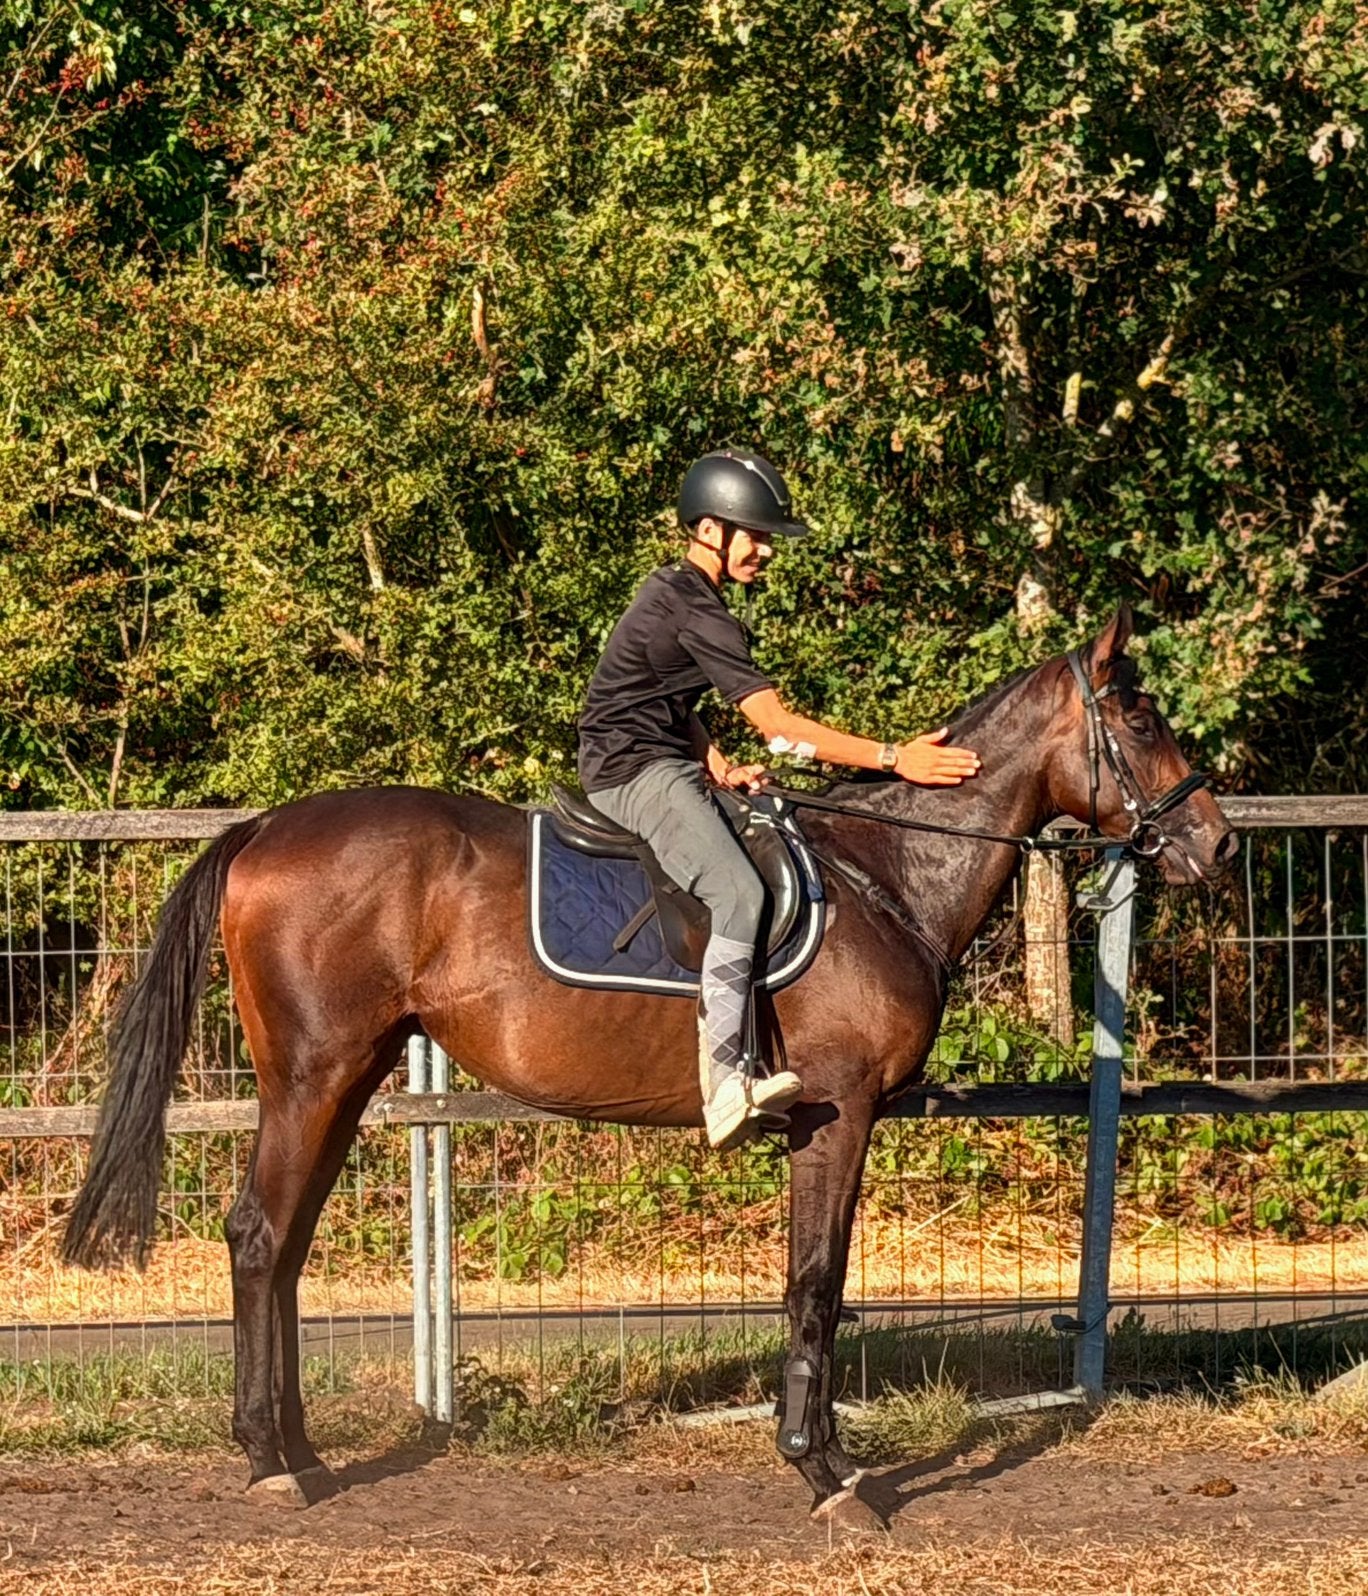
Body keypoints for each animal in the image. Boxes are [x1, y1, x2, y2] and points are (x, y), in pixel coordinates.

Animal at [62, 604, 1236, 1523]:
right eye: (1139, 719)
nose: (1217, 845)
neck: (888, 870)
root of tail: (264, 832)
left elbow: (817, 1284)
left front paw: (822, 1459)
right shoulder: (839, 1110)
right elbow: (816, 1283)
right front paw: (827, 1478)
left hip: (346, 1081)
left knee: (286, 1246)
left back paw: (298, 1448)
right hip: (310, 1076)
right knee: (260, 1237)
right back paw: (271, 1462)